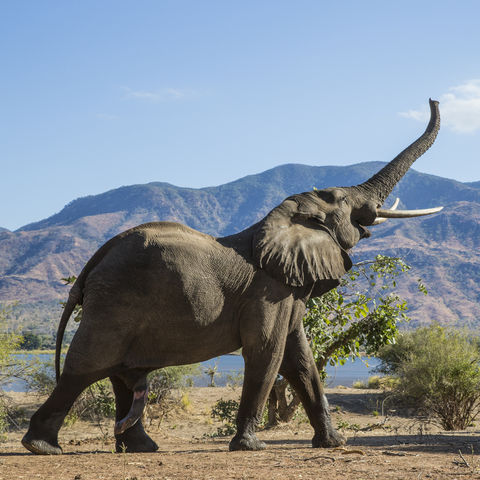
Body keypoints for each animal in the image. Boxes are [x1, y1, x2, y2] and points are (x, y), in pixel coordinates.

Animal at [22, 99, 442, 456]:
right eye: (341, 200)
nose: (434, 99)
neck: (282, 218)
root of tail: (94, 261)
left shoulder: (288, 291)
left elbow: (301, 359)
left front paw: (333, 444)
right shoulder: (268, 292)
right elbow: (267, 352)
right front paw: (250, 446)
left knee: (119, 373)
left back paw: (141, 448)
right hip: (115, 301)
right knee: (87, 366)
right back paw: (41, 447)